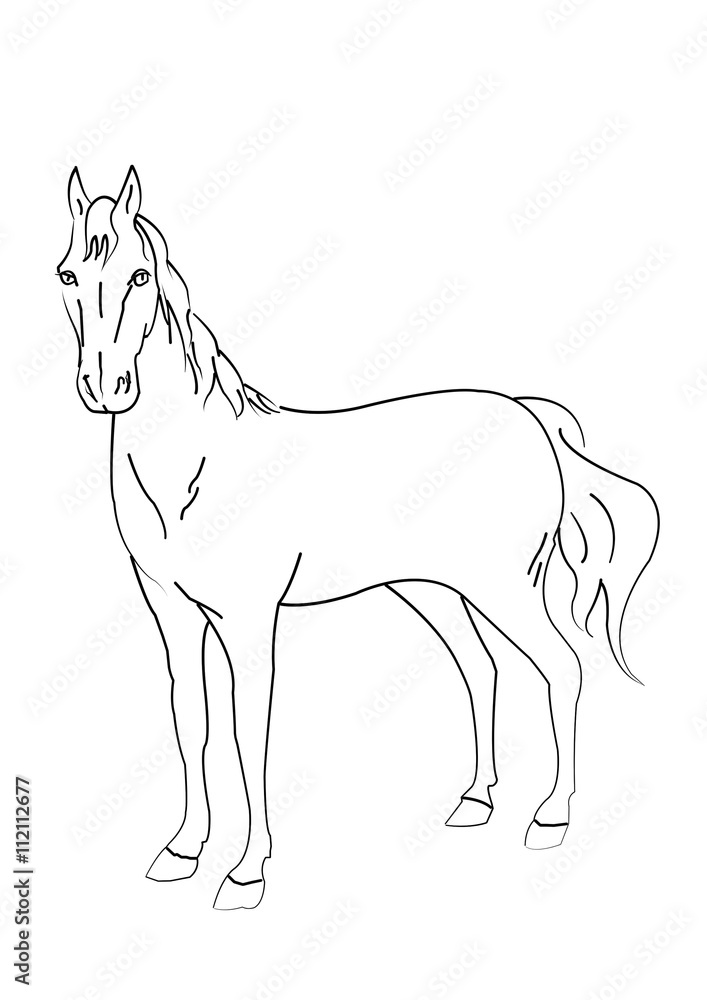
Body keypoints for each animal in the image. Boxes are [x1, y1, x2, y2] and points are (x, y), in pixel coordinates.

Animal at [57, 166, 659, 910]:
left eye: (140, 276)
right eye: (68, 274)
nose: (104, 386)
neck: (196, 464)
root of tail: (531, 415)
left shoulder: (248, 619)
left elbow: (247, 735)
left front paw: (245, 873)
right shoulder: (170, 611)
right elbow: (190, 723)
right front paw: (181, 851)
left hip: (503, 588)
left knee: (563, 667)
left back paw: (550, 818)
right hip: (436, 589)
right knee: (481, 669)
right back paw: (475, 802)